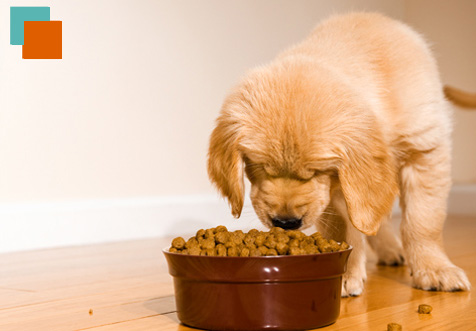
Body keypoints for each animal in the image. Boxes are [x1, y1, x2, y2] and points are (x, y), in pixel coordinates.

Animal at [207, 12, 468, 298]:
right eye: (259, 166)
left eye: (316, 171)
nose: (285, 222)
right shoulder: (335, 190)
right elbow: (344, 228)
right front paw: (345, 272)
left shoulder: (425, 149)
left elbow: (423, 221)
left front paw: (435, 269)